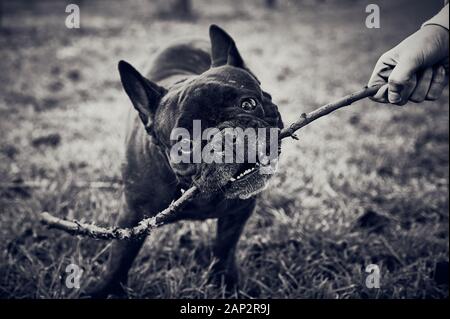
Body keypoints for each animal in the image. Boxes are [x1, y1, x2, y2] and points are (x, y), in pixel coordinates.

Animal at [85, 25, 282, 300]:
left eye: (248, 104)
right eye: (184, 142)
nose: (227, 136)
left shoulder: (238, 212)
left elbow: (225, 249)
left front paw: (224, 283)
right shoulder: (133, 216)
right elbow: (120, 257)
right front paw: (105, 290)